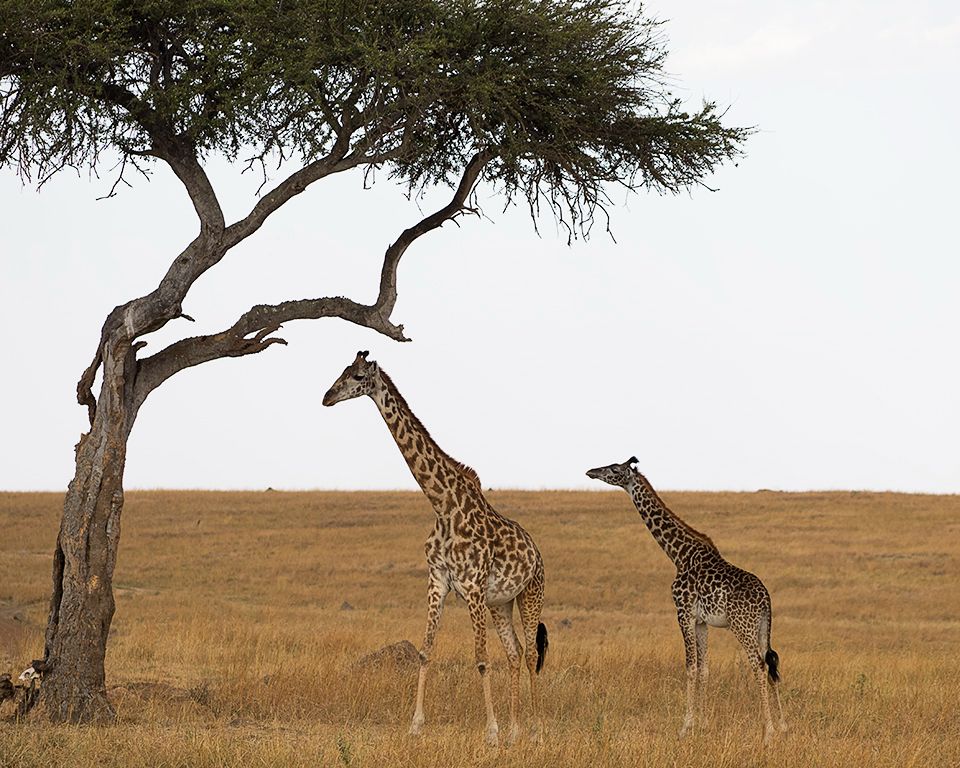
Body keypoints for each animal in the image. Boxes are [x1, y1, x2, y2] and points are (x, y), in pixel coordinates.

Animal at [323, 351, 548, 746]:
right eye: (342, 371)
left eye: (358, 376)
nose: (327, 397)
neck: (443, 505)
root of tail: (538, 554)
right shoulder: (438, 581)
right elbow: (426, 652)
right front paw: (415, 725)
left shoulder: (472, 586)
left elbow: (480, 658)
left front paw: (490, 731)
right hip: (501, 603)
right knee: (515, 652)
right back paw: (516, 731)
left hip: (530, 594)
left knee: (532, 651)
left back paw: (533, 731)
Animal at [586, 457, 787, 744]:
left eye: (614, 469)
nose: (591, 472)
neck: (679, 555)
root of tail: (766, 599)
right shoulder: (701, 621)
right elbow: (704, 669)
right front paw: (703, 724)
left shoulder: (683, 612)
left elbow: (690, 667)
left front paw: (685, 726)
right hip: (762, 628)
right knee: (771, 663)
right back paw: (783, 725)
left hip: (742, 626)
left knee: (758, 666)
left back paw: (768, 731)